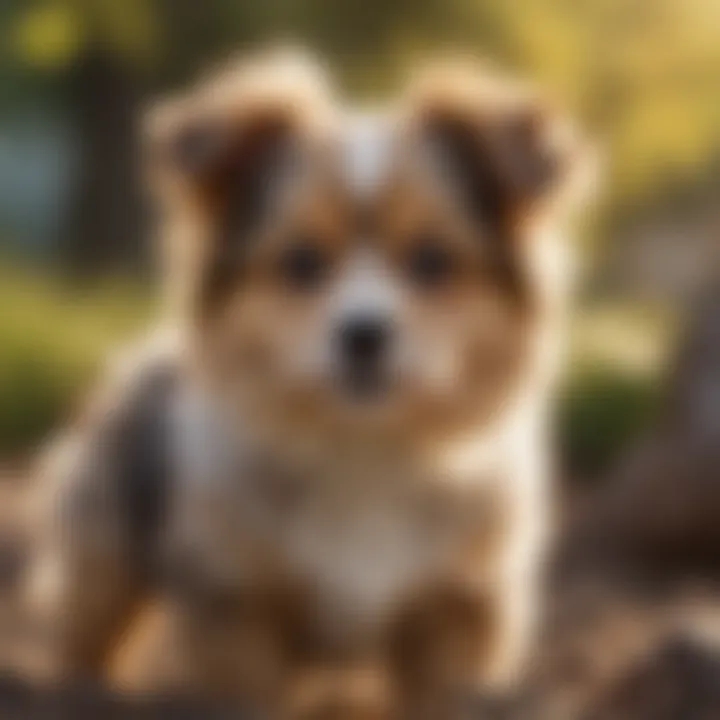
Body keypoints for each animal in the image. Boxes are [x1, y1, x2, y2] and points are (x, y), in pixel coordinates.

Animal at [23, 50, 592, 720]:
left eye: (432, 261)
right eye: (301, 262)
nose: (364, 334)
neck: (365, 450)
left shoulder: (458, 612)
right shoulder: (237, 606)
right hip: (104, 550)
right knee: (88, 627)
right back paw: (76, 692)